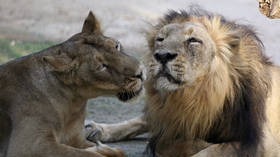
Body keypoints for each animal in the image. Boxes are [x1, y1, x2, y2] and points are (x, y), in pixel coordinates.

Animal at [0, 11, 143, 157]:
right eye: (102, 67)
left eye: (116, 46)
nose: (141, 72)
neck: (74, 104)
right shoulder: (28, 146)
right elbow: (85, 154)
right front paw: (98, 149)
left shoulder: (76, 139)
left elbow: (119, 151)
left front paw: (102, 147)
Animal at [86, 7, 280, 157]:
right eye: (160, 39)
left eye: (193, 40)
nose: (162, 55)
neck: (195, 95)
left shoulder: (260, 142)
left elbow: (208, 151)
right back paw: (96, 129)